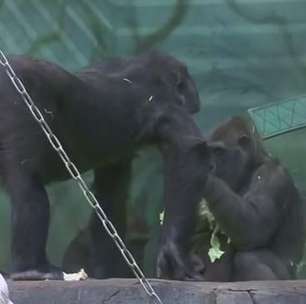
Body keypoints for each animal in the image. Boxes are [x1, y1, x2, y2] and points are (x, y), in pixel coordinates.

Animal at [0, 50, 209, 280]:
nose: (196, 98)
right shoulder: (163, 105)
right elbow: (190, 152)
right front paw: (174, 250)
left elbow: (110, 200)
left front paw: (107, 270)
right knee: (30, 193)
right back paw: (30, 269)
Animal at [188, 116, 304, 280]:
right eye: (209, 152)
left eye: (218, 151)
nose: (210, 166)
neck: (254, 164)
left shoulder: (273, 174)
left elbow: (254, 227)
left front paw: (206, 179)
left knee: (248, 258)